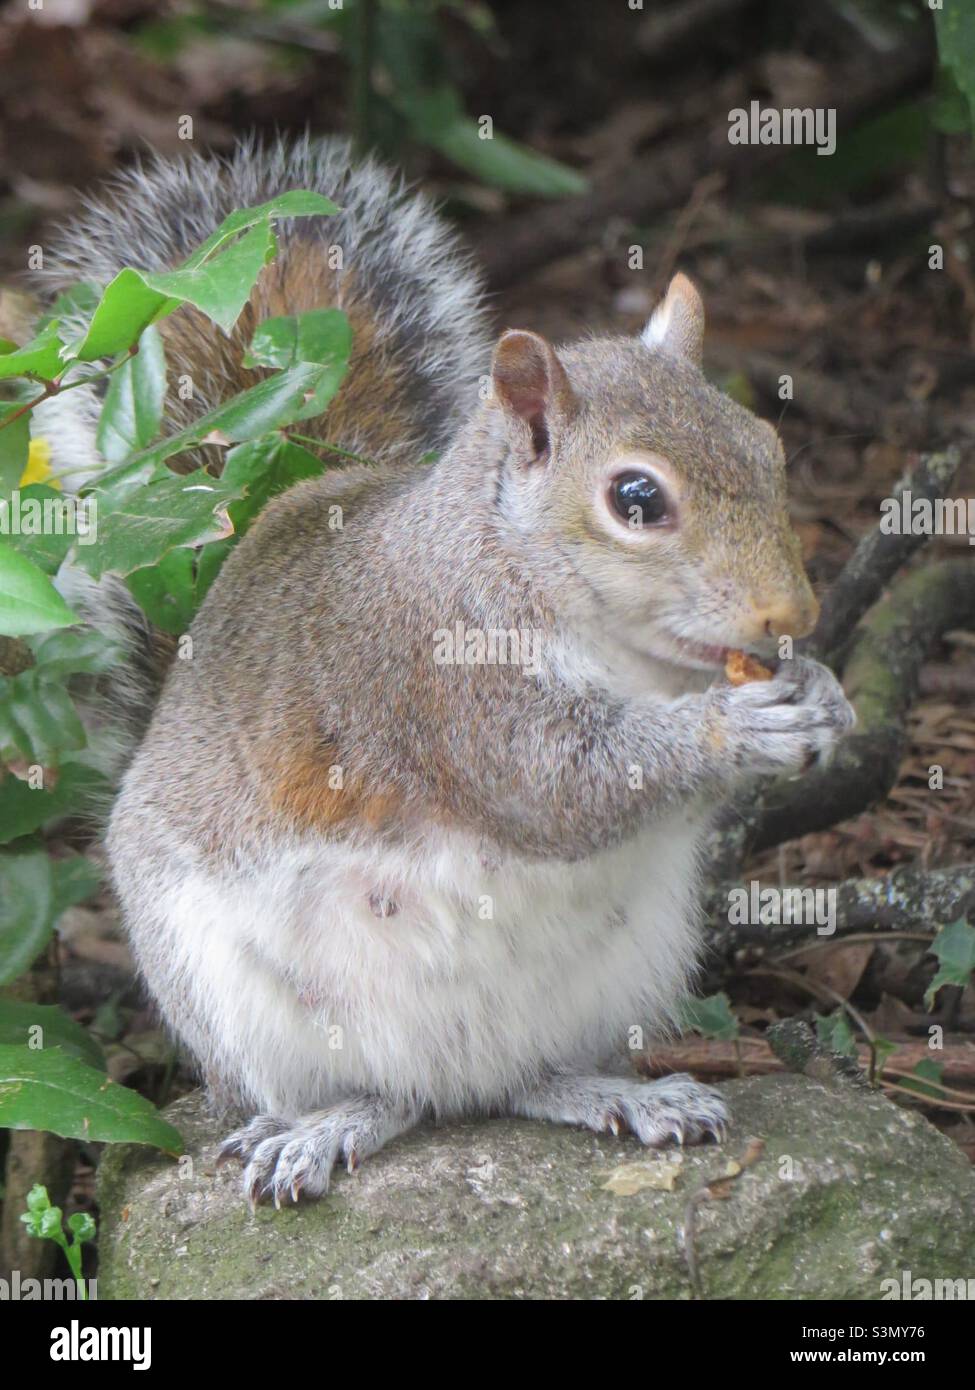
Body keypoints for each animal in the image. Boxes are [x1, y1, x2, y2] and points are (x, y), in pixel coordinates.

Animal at [39, 138, 851, 1206]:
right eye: (635, 498)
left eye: (767, 447)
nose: (789, 615)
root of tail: (452, 1074)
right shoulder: (439, 682)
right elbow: (557, 787)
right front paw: (734, 729)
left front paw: (821, 694)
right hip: (234, 996)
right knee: (385, 1097)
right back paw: (324, 1127)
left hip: (619, 968)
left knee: (513, 1084)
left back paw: (616, 1095)